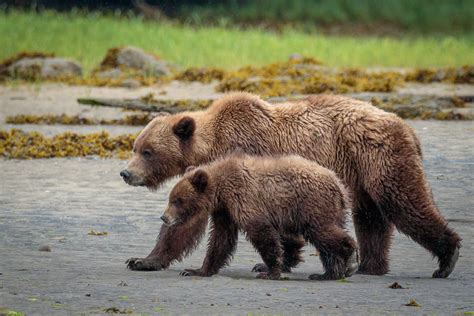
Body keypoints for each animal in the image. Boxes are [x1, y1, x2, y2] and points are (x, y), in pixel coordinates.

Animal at [161, 154, 358, 280]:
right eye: (171, 198)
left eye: (177, 200)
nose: (164, 217)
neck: (221, 191)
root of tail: (338, 184)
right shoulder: (225, 211)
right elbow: (221, 240)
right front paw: (196, 270)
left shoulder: (244, 199)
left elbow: (261, 232)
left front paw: (269, 271)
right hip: (329, 209)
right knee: (325, 238)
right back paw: (327, 273)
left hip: (312, 204)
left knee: (322, 232)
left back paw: (349, 258)